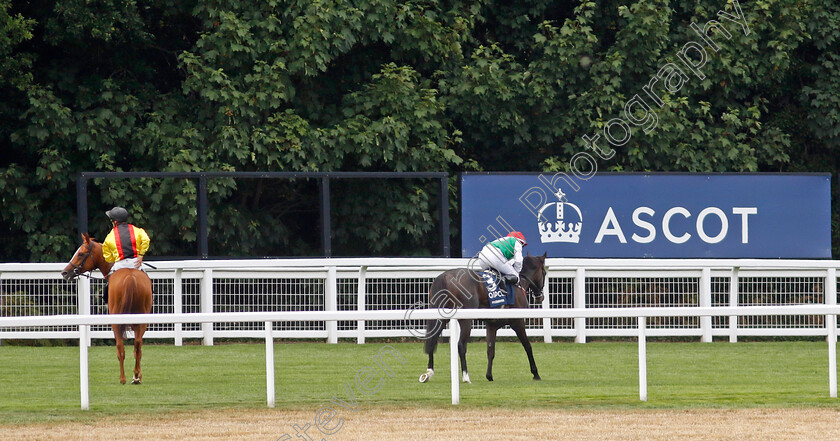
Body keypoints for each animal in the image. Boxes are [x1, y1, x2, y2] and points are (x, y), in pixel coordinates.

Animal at [61, 232, 153, 384]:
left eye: (80, 253)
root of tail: (130, 278)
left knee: (120, 347)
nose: (65, 272)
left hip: (116, 321)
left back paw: (123, 378)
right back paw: (135, 376)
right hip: (142, 320)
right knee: (138, 346)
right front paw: (138, 375)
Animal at [418, 253, 548, 384]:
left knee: (432, 340)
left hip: (441, 317)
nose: (540, 297)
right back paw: (466, 376)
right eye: (544, 273)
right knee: (460, 345)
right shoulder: (518, 322)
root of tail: (444, 277)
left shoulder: (492, 325)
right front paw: (536, 373)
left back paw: (428, 373)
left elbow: (490, 350)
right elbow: (528, 346)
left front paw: (489, 376)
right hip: (466, 320)